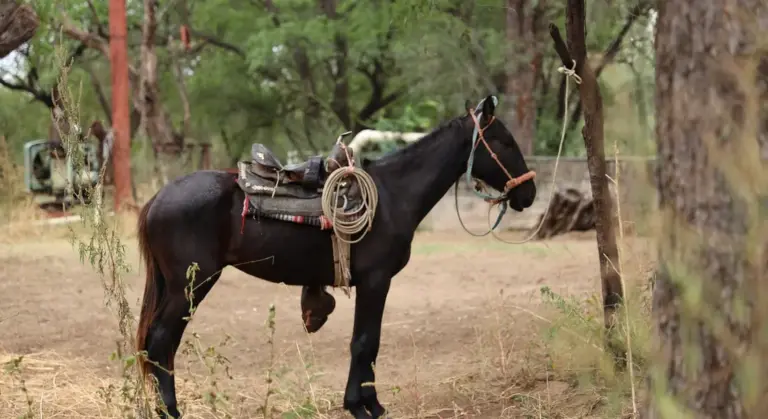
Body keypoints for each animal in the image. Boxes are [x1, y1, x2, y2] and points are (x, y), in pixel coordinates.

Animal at [135, 95, 537, 418]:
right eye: (503, 141)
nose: (529, 193)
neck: (393, 194)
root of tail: (158, 198)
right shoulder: (376, 281)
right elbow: (365, 341)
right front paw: (362, 406)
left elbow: (367, 342)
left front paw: (369, 404)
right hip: (191, 284)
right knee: (161, 341)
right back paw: (170, 411)